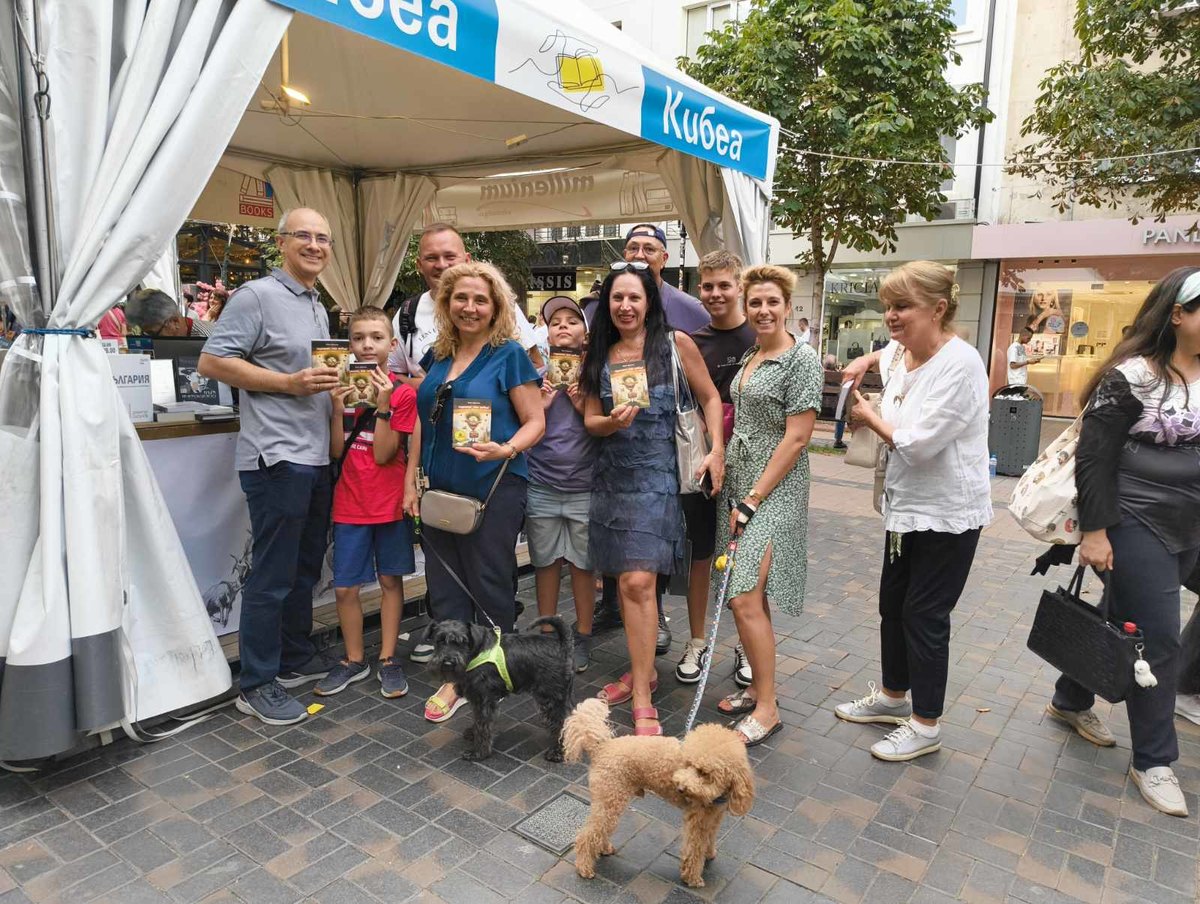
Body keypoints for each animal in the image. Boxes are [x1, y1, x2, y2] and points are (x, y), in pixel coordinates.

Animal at [429, 615, 574, 762]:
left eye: (463, 642)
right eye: (439, 640)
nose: (448, 662)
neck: (475, 652)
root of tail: (562, 645)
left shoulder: (484, 701)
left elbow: (483, 727)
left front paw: (479, 752)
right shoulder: (477, 700)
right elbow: (477, 721)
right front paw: (473, 733)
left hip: (551, 698)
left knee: (561, 723)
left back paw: (557, 752)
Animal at [563, 698, 754, 888]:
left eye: (704, 773)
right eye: (688, 764)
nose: (680, 787)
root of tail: (602, 747)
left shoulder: (713, 817)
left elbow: (709, 838)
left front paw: (709, 854)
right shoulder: (697, 821)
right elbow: (694, 849)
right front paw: (692, 878)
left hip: (610, 801)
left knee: (599, 830)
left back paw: (603, 849)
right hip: (610, 798)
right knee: (587, 835)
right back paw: (584, 867)